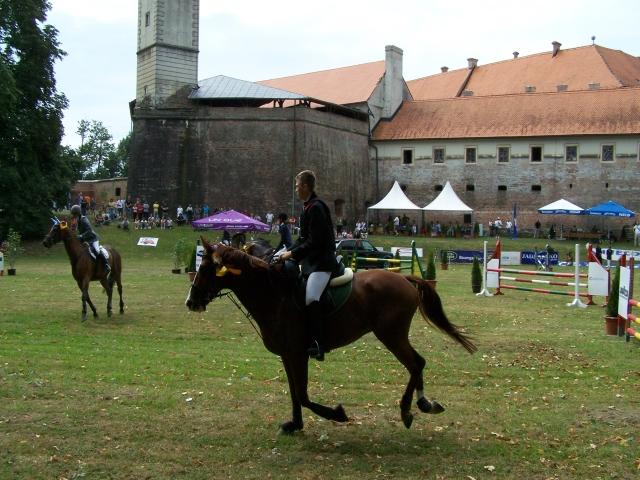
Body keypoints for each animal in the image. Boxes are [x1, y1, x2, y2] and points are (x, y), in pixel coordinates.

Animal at [185, 242, 476, 434]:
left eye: (207, 268)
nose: (190, 301)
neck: (274, 294)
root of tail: (404, 278)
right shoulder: (288, 355)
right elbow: (294, 392)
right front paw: (295, 424)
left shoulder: (299, 354)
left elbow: (303, 395)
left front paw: (337, 414)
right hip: (393, 335)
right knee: (418, 363)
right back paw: (425, 403)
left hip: (391, 335)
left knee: (415, 364)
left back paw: (407, 410)